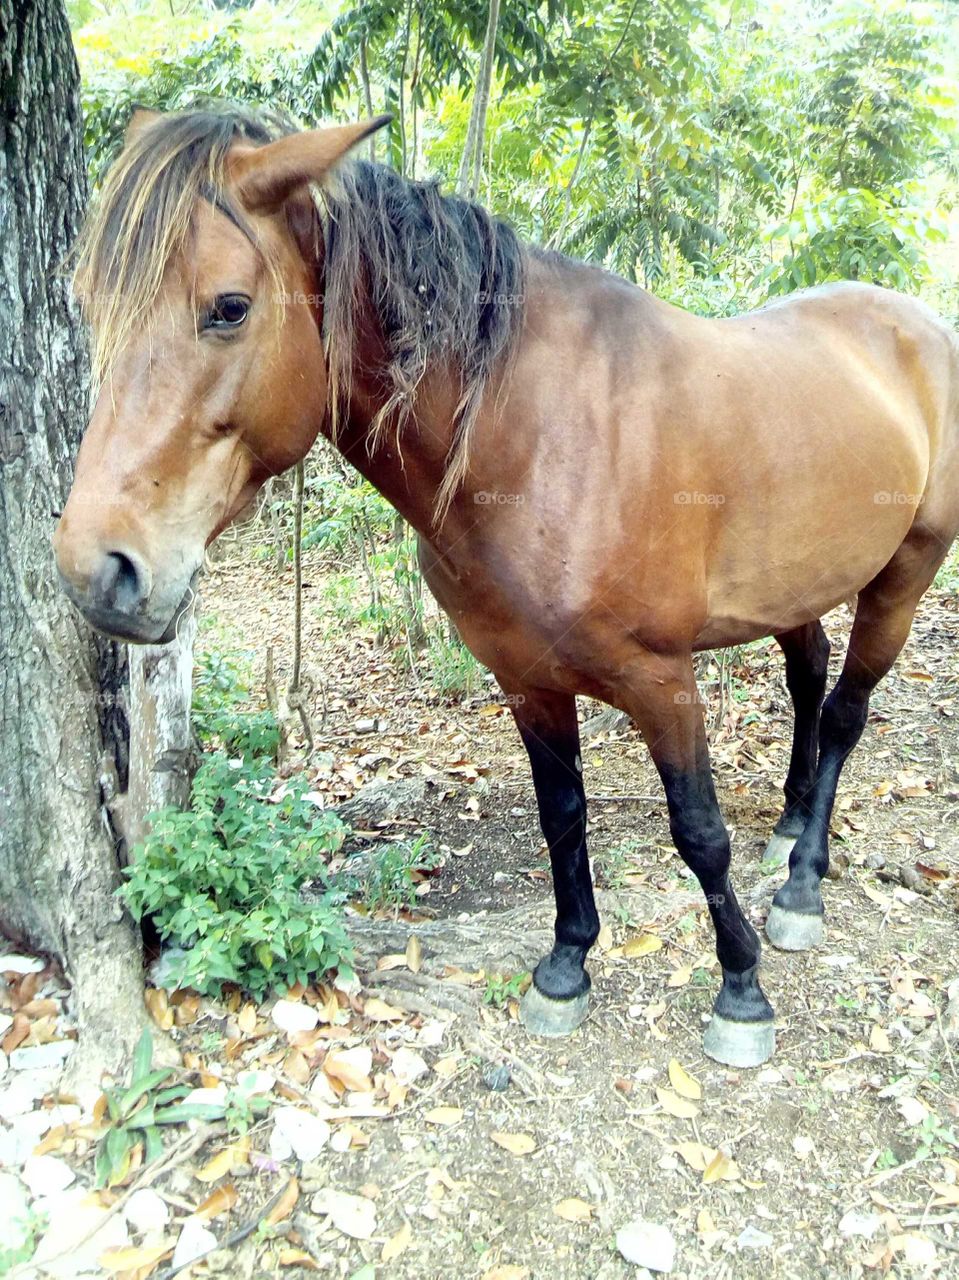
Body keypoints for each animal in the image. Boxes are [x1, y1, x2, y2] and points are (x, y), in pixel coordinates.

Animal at [54, 106, 959, 1068]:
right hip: (795, 588)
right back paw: (787, 827)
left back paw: (801, 885)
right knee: (807, 671)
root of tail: (917, 327)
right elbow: (562, 816)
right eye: (88, 302)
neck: (535, 439)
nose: (97, 568)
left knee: (845, 713)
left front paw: (740, 990)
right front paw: (565, 967)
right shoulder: (526, 680)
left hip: (903, 578)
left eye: (227, 308)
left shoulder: (662, 680)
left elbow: (698, 832)